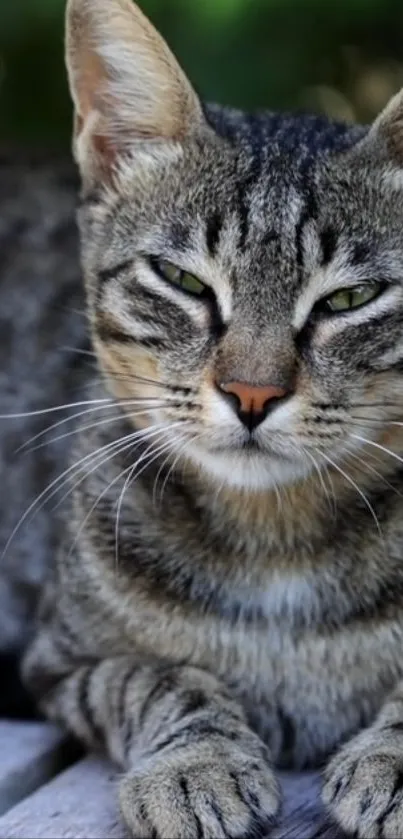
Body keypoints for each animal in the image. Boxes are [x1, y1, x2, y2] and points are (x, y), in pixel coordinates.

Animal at [9, 0, 403, 836]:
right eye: (181, 279)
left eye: (349, 298)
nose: (251, 393)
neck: (277, 535)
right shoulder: (61, 665)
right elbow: (159, 678)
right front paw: (195, 762)